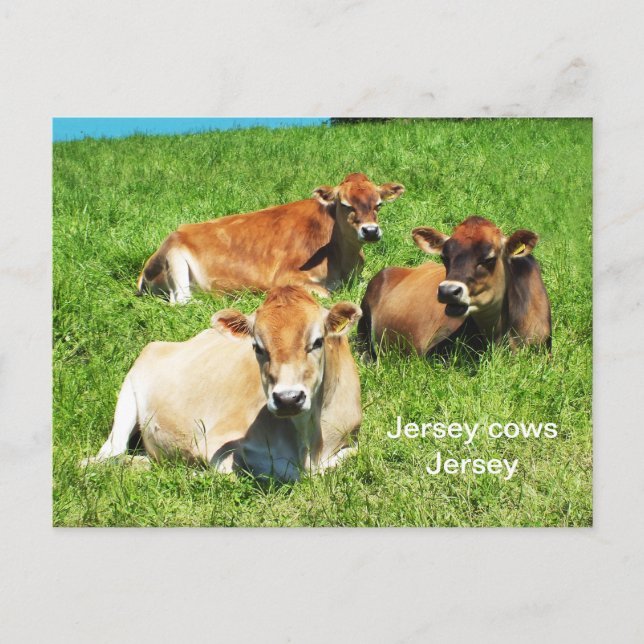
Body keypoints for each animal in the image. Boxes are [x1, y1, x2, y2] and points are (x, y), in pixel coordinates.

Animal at [83, 286, 363, 482]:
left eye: (317, 341)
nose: (288, 398)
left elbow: (347, 456)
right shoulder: (216, 443)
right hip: (128, 393)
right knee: (106, 455)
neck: (307, 442)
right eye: (257, 347)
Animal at [137, 173, 404, 303]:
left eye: (378, 205)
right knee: (182, 300)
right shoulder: (286, 277)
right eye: (345, 204)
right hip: (175, 257)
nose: (370, 231)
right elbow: (326, 294)